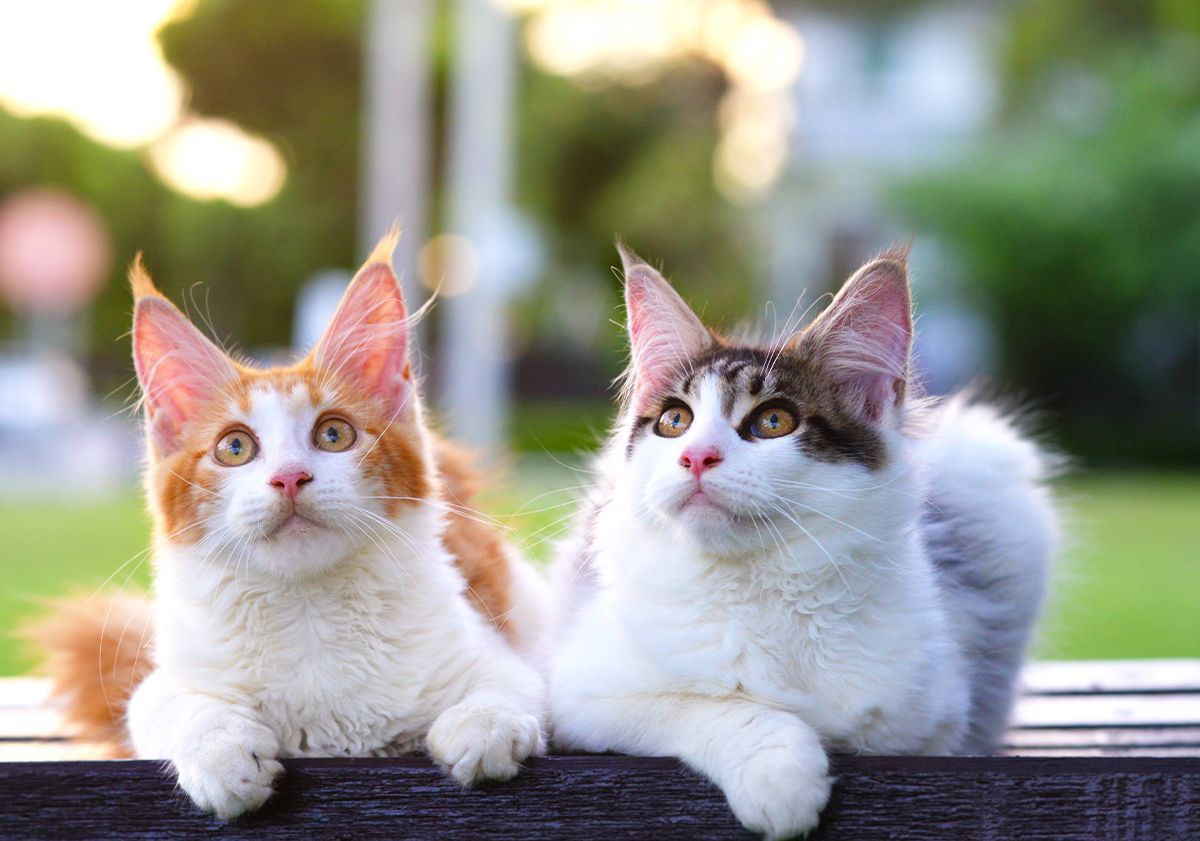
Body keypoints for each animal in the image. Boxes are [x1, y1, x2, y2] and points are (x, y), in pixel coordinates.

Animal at [41, 236, 549, 820]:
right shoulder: (163, 682)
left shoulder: (496, 651)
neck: (309, 612)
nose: (289, 477)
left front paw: (481, 726)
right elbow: (178, 707)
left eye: (333, 434)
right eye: (235, 447)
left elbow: (510, 689)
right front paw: (222, 755)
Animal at [549, 245, 1056, 835]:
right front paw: (778, 771)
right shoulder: (579, 694)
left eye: (773, 422)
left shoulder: (930, 718)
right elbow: (700, 703)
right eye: (675, 421)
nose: (695, 456)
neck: (762, 583)